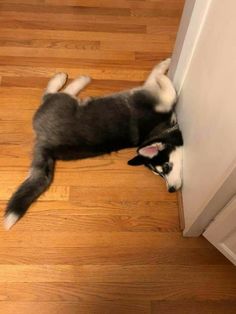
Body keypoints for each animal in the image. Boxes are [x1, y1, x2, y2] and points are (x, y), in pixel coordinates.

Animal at [4, 59, 183, 229]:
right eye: (164, 169)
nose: (171, 190)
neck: (158, 131)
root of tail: (48, 144)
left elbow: (164, 85)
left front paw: (165, 67)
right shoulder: (152, 94)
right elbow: (166, 86)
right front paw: (166, 66)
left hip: (63, 103)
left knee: (52, 94)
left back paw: (74, 80)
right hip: (63, 102)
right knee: (50, 93)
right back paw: (69, 79)